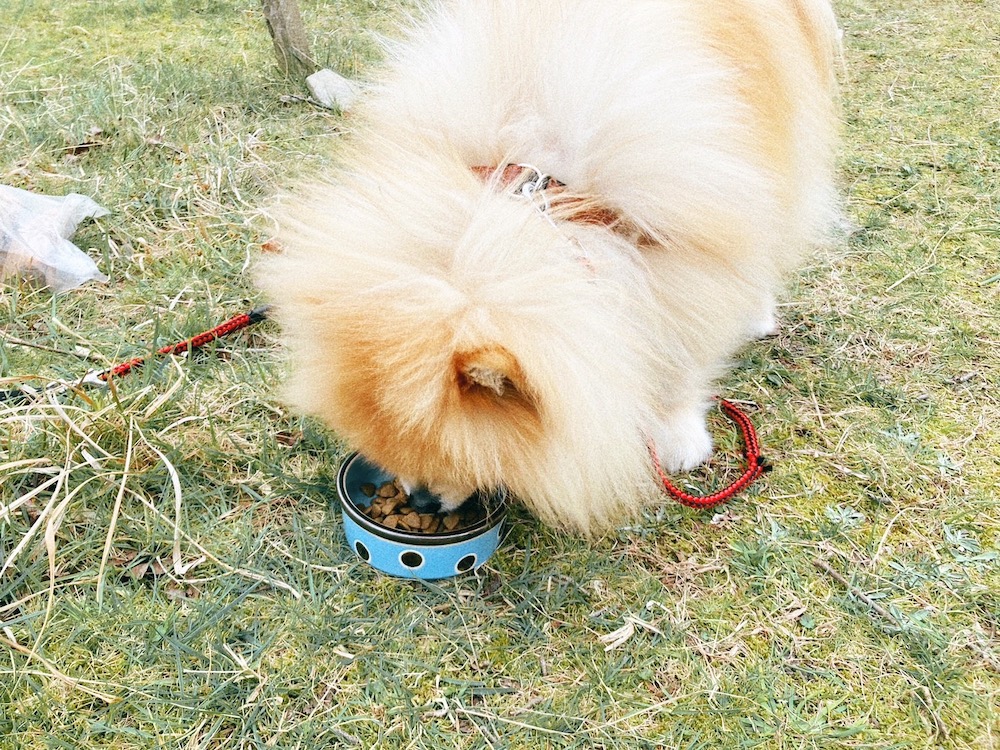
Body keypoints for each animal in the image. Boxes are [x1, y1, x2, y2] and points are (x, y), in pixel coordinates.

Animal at [260, 2, 844, 536]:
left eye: (459, 460)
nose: (421, 501)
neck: (532, 186)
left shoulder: (684, 237)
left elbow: (682, 346)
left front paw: (677, 432)